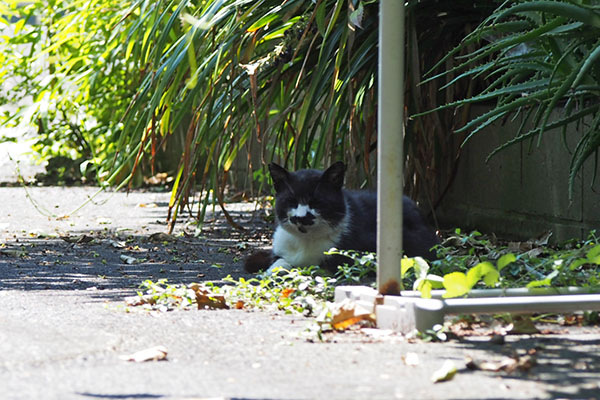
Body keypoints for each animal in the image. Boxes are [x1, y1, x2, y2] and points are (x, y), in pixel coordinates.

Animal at [245, 161, 440, 274]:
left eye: (317, 202)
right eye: (291, 201)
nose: (301, 217)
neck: (305, 241)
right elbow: (275, 259)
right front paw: (273, 269)